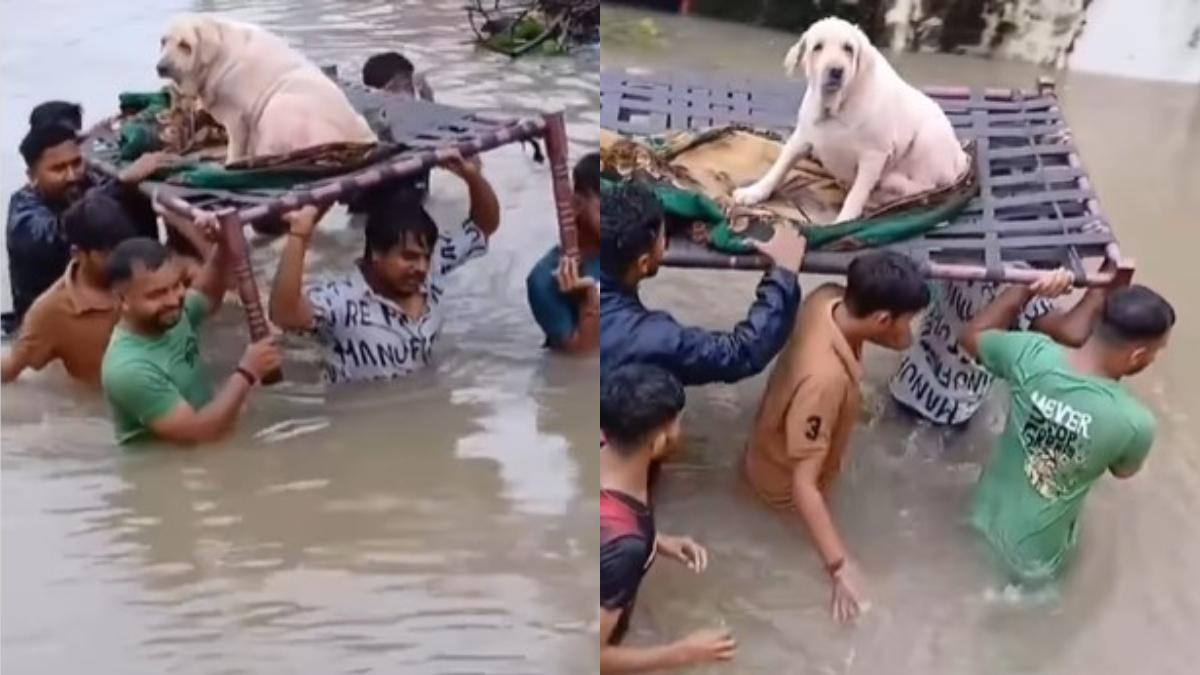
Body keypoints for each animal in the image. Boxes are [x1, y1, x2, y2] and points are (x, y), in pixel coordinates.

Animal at [156, 13, 374, 163]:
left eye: (185, 45)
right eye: (163, 41)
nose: (160, 67)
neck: (218, 58)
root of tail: (362, 139)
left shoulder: (237, 117)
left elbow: (235, 149)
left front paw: (231, 162)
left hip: (278, 104)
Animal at [729, 17, 964, 222]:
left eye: (848, 49)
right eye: (818, 47)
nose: (836, 70)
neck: (837, 107)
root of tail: (960, 157)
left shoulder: (873, 156)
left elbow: (857, 194)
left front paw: (844, 221)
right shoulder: (801, 138)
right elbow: (779, 168)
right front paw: (754, 192)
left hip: (928, 137)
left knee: (923, 187)